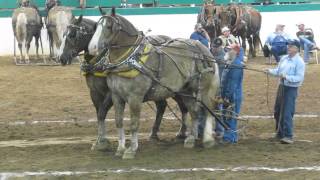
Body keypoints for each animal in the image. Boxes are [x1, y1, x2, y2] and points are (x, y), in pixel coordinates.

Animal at [57, 15, 189, 150]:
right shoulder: (94, 92)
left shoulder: (111, 93)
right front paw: (99, 140)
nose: (61, 58)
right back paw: (154, 134)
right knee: (163, 105)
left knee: (182, 106)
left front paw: (103, 142)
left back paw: (181, 133)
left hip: (175, 88)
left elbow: (102, 113)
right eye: (63, 34)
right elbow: (99, 114)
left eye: (73, 35)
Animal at [89, 8, 221, 159]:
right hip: (186, 91)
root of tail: (203, 49)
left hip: (203, 88)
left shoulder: (135, 97)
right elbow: (118, 121)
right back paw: (191, 139)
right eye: (96, 26)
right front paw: (120, 148)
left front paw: (131, 149)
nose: (92, 47)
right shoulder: (116, 96)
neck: (130, 59)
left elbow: (134, 123)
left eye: (109, 26)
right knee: (194, 111)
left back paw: (208, 140)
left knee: (208, 109)